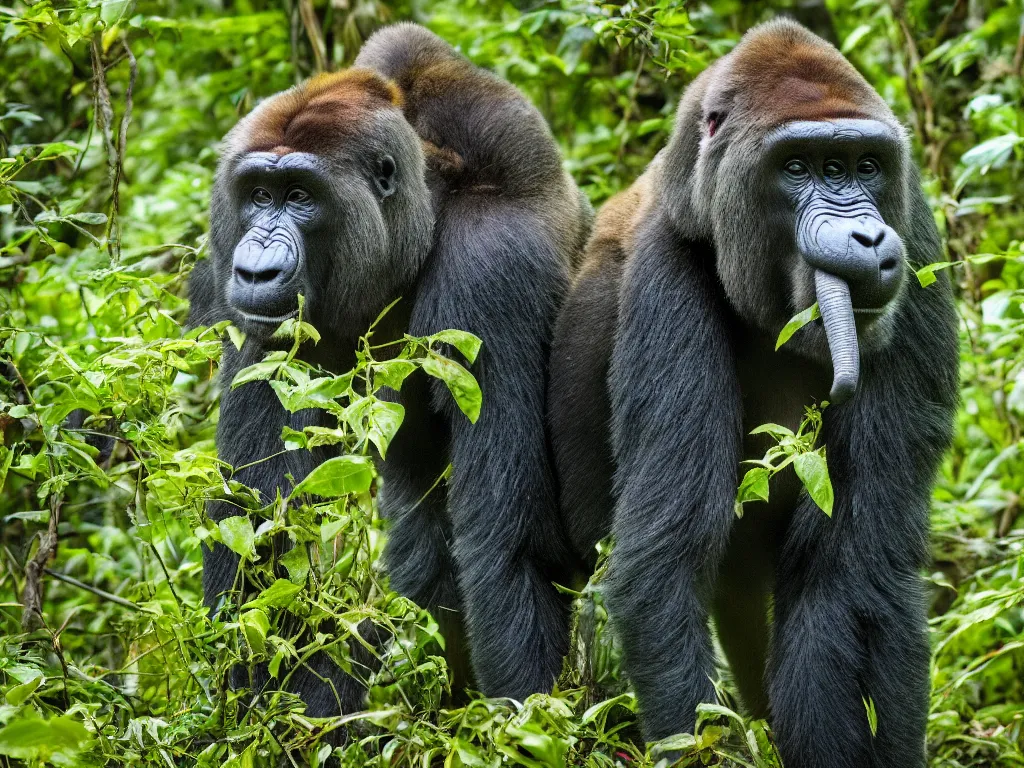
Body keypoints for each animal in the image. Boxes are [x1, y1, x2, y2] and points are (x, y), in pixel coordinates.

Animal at [191, 22, 593, 720]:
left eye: (300, 198)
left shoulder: (494, 266)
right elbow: (260, 527)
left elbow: (513, 546)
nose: (256, 268)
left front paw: (524, 727)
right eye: (257, 197)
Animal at [552, 18, 958, 768]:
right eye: (798, 168)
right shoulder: (667, 260)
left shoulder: (915, 240)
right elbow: (665, 564)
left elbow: (855, 572)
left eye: (866, 167)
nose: (866, 236)